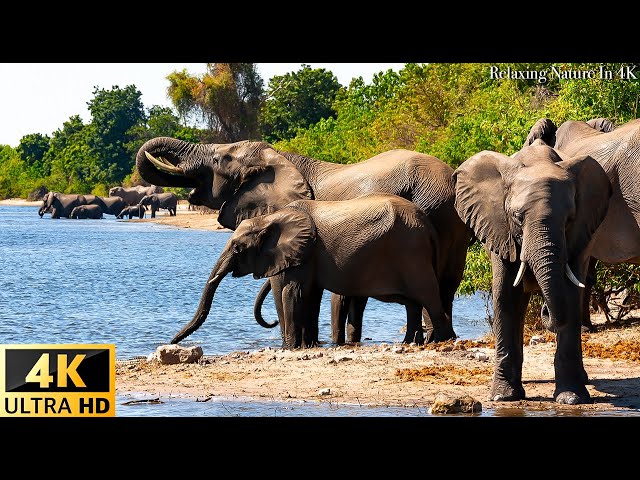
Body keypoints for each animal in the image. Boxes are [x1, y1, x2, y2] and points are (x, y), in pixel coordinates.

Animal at [170, 193, 448, 349]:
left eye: (237, 248)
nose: (170, 341)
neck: (270, 219)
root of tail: (428, 226)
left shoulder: (302, 253)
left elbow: (290, 293)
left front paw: (291, 348)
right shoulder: (307, 256)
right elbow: (310, 296)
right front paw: (309, 346)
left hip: (412, 252)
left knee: (428, 296)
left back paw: (444, 341)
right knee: (413, 303)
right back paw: (412, 343)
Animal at [453, 143, 612, 405]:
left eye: (569, 219)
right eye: (518, 217)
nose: (545, 310)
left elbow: (569, 295)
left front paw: (571, 399)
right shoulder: (499, 228)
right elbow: (505, 296)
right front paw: (502, 398)